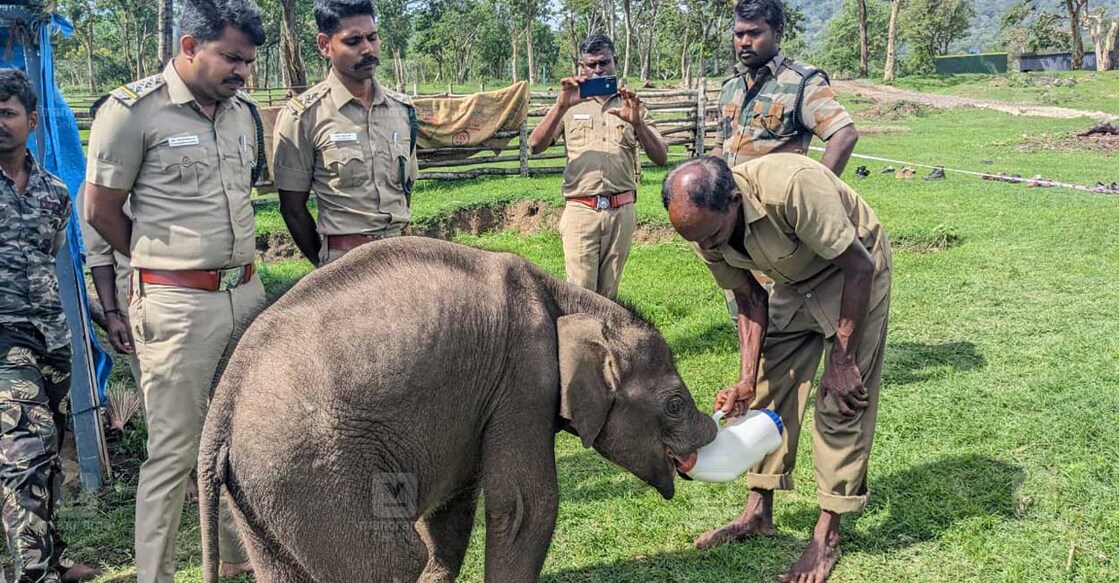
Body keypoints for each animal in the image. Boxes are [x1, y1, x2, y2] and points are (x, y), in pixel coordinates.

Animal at [200, 237, 716, 581]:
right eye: (673, 405)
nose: (711, 433)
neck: (568, 298)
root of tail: (221, 411)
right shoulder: (524, 376)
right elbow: (524, 506)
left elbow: (453, 509)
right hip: (314, 473)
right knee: (393, 560)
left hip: (261, 494)